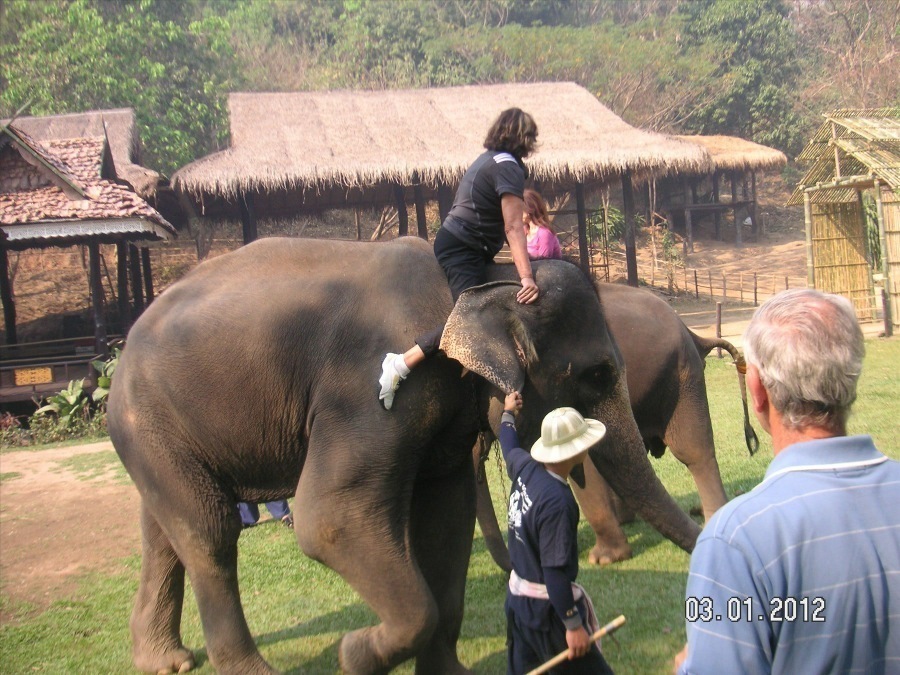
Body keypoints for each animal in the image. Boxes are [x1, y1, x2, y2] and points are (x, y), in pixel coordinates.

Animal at [109, 235, 700, 672]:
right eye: (596, 373)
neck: (483, 281)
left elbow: (445, 522)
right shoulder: (365, 394)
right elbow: (330, 520)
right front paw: (353, 654)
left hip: (162, 432)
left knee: (166, 533)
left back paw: (166, 661)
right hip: (149, 417)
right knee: (210, 533)